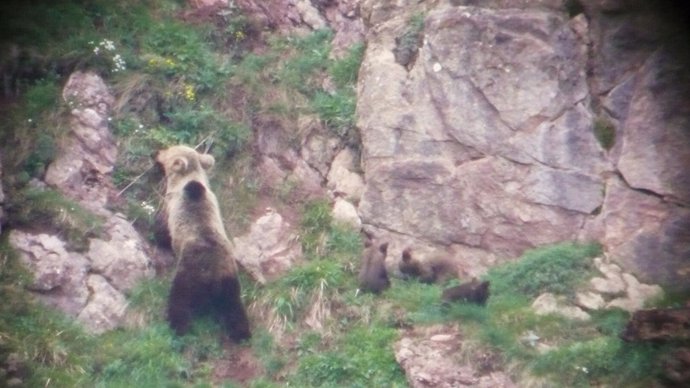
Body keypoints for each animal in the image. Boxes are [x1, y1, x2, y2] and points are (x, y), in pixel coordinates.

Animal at [155, 145, 251, 340]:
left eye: (169, 150)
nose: (157, 153)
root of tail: (213, 279)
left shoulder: (173, 206)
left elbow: (165, 230)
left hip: (190, 271)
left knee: (179, 299)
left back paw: (177, 327)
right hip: (229, 277)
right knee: (233, 305)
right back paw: (242, 333)